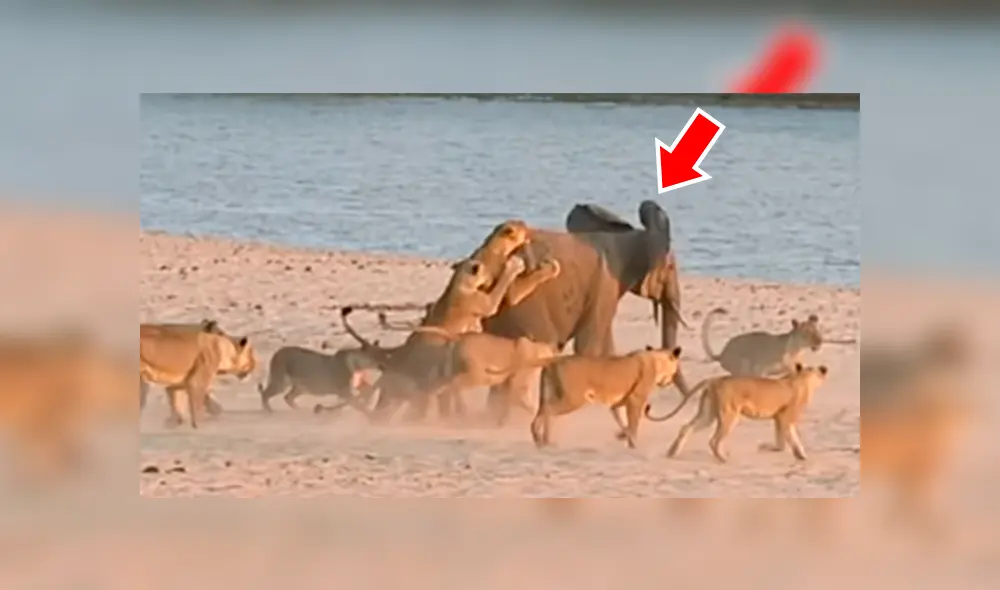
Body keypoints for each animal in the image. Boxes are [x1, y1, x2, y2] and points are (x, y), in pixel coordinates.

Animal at [479, 199, 692, 425]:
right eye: (670, 268)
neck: (631, 236)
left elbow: (607, 349)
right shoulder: (605, 284)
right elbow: (591, 346)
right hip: (523, 305)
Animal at [530, 345, 682, 449]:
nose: (670, 381)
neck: (655, 360)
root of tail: (554, 360)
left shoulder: (619, 403)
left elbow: (624, 422)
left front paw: (622, 436)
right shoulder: (635, 399)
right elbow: (634, 424)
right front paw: (633, 445)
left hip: (547, 396)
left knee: (538, 415)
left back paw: (538, 440)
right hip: (573, 399)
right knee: (549, 411)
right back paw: (546, 441)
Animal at [647, 363, 828, 463]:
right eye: (816, 369)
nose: (824, 370)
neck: (802, 378)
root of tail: (715, 379)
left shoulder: (778, 418)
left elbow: (781, 440)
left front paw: (770, 448)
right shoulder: (785, 418)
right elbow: (793, 438)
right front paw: (801, 456)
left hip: (707, 414)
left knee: (686, 427)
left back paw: (672, 453)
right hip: (729, 414)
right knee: (713, 440)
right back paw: (723, 459)